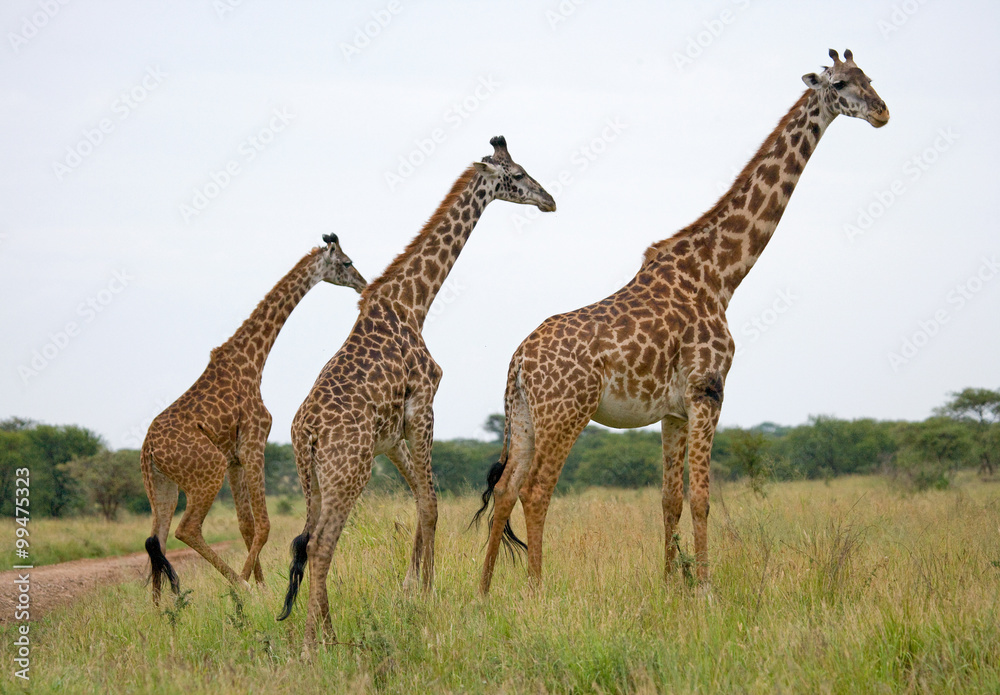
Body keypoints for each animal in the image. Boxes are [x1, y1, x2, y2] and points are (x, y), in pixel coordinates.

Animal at [141, 234, 367, 605]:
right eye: (347, 262)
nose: (363, 283)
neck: (253, 360)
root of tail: (147, 452)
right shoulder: (253, 442)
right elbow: (264, 524)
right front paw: (250, 588)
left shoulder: (234, 457)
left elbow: (246, 526)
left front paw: (260, 586)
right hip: (206, 470)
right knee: (185, 529)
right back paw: (235, 585)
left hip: (162, 484)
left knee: (154, 539)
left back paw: (162, 609)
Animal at [276, 136, 555, 656]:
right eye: (518, 175)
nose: (549, 199)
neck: (413, 302)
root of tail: (307, 434)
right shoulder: (423, 404)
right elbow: (431, 504)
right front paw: (427, 596)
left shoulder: (391, 436)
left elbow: (423, 501)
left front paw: (411, 590)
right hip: (350, 470)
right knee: (322, 543)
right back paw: (314, 645)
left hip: (314, 479)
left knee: (310, 541)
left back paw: (326, 633)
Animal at [474, 49, 889, 592]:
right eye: (840, 84)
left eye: (870, 78)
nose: (882, 112)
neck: (721, 274)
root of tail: (518, 361)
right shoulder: (707, 391)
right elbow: (703, 498)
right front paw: (707, 588)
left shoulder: (672, 410)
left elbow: (670, 499)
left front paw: (672, 584)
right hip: (566, 412)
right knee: (537, 490)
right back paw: (537, 591)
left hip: (522, 416)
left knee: (505, 490)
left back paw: (483, 592)